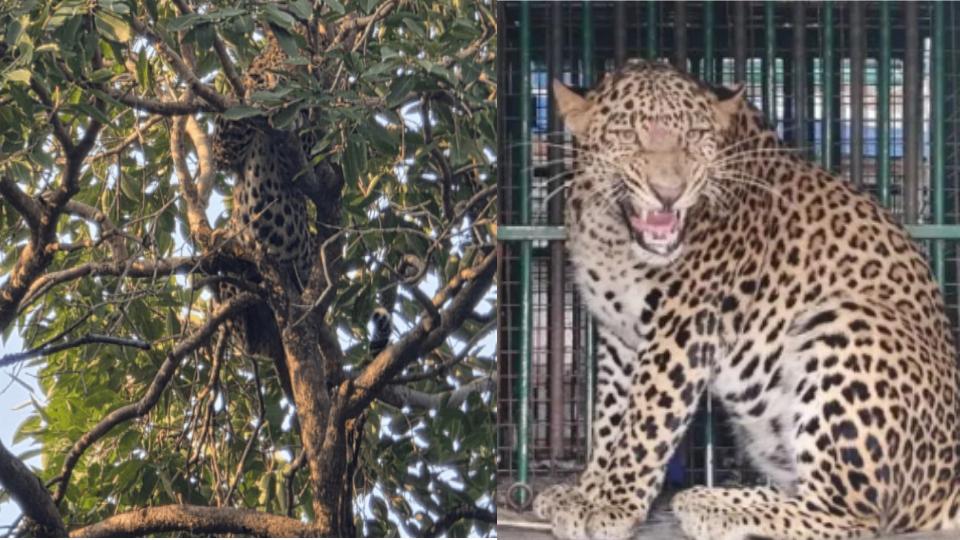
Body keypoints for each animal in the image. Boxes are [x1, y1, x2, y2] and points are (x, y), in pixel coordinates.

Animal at [533, 59, 960, 540]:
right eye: (626, 134)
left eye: (695, 135)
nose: (668, 192)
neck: (612, 235)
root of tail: (948, 481)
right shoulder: (622, 337)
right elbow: (610, 418)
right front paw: (587, 492)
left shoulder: (682, 327)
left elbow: (645, 420)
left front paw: (613, 506)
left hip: (847, 322)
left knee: (852, 517)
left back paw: (713, 505)